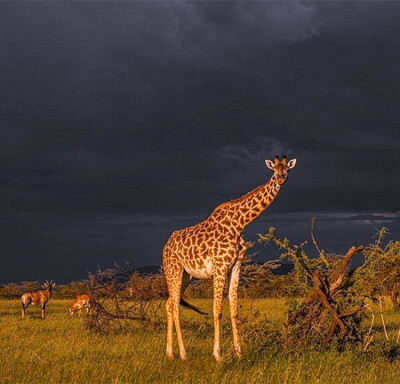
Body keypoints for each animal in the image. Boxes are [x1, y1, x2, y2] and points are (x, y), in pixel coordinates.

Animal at [162, 154, 296, 358]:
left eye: (287, 169)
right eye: (274, 170)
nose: (281, 178)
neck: (239, 223)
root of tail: (165, 246)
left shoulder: (236, 266)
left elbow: (234, 310)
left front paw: (239, 353)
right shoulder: (220, 267)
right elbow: (217, 310)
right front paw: (218, 354)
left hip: (185, 276)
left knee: (170, 304)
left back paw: (170, 353)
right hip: (173, 271)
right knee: (175, 307)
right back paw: (183, 354)